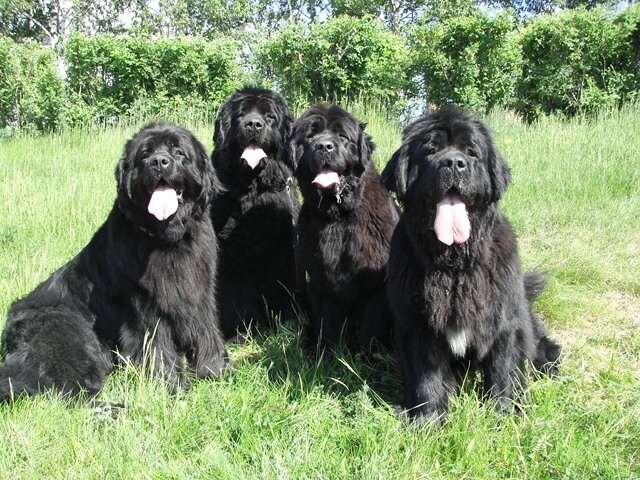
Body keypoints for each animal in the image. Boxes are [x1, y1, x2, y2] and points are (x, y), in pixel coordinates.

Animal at [0, 122, 228, 400]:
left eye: (178, 151)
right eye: (144, 154)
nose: (159, 162)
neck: (167, 242)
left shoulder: (199, 294)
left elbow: (207, 330)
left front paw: (215, 370)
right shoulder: (145, 307)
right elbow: (156, 346)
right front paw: (170, 387)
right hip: (69, 334)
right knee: (73, 391)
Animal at [210, 87, 300, 342]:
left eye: (269, 117)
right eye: (241, 115)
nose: (253, 124)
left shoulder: (283, 251)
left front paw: (285, 321)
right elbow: (236, 295)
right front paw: (239, 329)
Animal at [292, 105, 400, 350]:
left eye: (342, 135)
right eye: (310, 135)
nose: (324, 146)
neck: (339, 217)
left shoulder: (376, 286)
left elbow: (370, 327)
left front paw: (366, 355)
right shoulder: (322, 281)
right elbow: (331, 324)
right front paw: (330, 354)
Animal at [380, 108, 560, 424]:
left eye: (471, 152)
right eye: (430, 150)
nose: (454, 163)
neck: (454, 266)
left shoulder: (504, 321)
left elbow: (503, 370)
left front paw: (504, 414)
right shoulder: (418, 325)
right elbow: (426, 377)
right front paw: (427, 419)